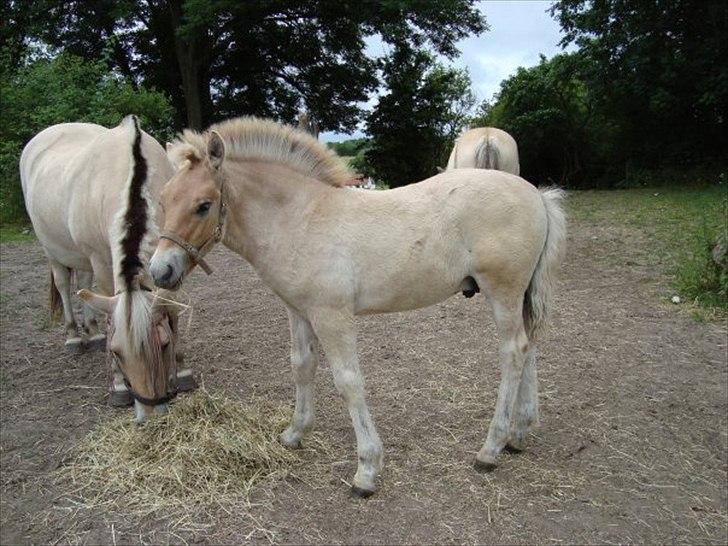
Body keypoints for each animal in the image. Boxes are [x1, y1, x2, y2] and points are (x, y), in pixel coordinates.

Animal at [20, 117, 195, 418]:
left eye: (163, 344)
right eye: (116, 353)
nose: (149, 413)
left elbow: (171, 307)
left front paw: (182, 370)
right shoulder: (101, 260)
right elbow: (111, 309)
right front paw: (119, 386)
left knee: (83, 284)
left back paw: (92, 331)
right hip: (52, 250)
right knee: (65, 285)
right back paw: (73, 337)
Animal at [151, 117, 564, 496]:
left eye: (203, 206)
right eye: (164, 199)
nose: (160, 271)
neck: (301, 218)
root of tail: (536, 195)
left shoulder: (332, 315)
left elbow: (348, 381)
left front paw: (367, 468)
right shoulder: (298, 310)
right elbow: (302, 366)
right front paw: (294, 432)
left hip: (502, 290)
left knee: (513, 351)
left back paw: (490, 449)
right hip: (519, 294)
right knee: (529, 347)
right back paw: (518, 435)